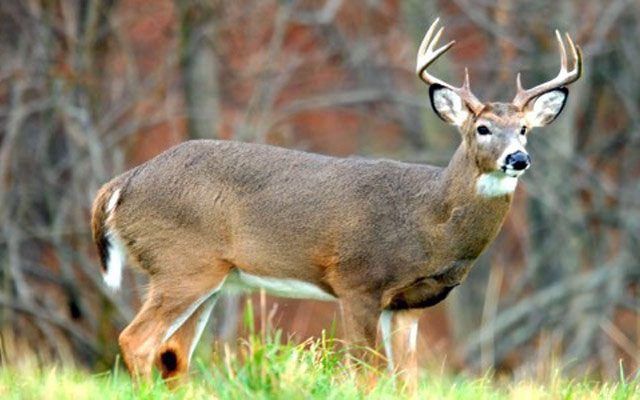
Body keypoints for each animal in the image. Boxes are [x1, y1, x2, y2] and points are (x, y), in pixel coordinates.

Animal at [91, 18, 582, 386]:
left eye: (524, 129)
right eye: (483, 128)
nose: (518, 158)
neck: (431, 221)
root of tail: (123, 183)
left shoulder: (408, 305)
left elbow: (406, 379)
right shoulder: (357, 281)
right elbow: (365, 372)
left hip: (211, 277)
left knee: (173, 353)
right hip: (182, 263)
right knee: (138, 340)